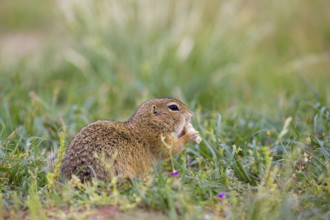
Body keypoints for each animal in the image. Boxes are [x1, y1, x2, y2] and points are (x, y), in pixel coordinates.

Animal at [60, 98, 202, 182]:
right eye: (173, 107)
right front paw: (190, 135)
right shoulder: (157, 139)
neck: (149, 125)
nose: (191, 115)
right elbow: (169, 150)